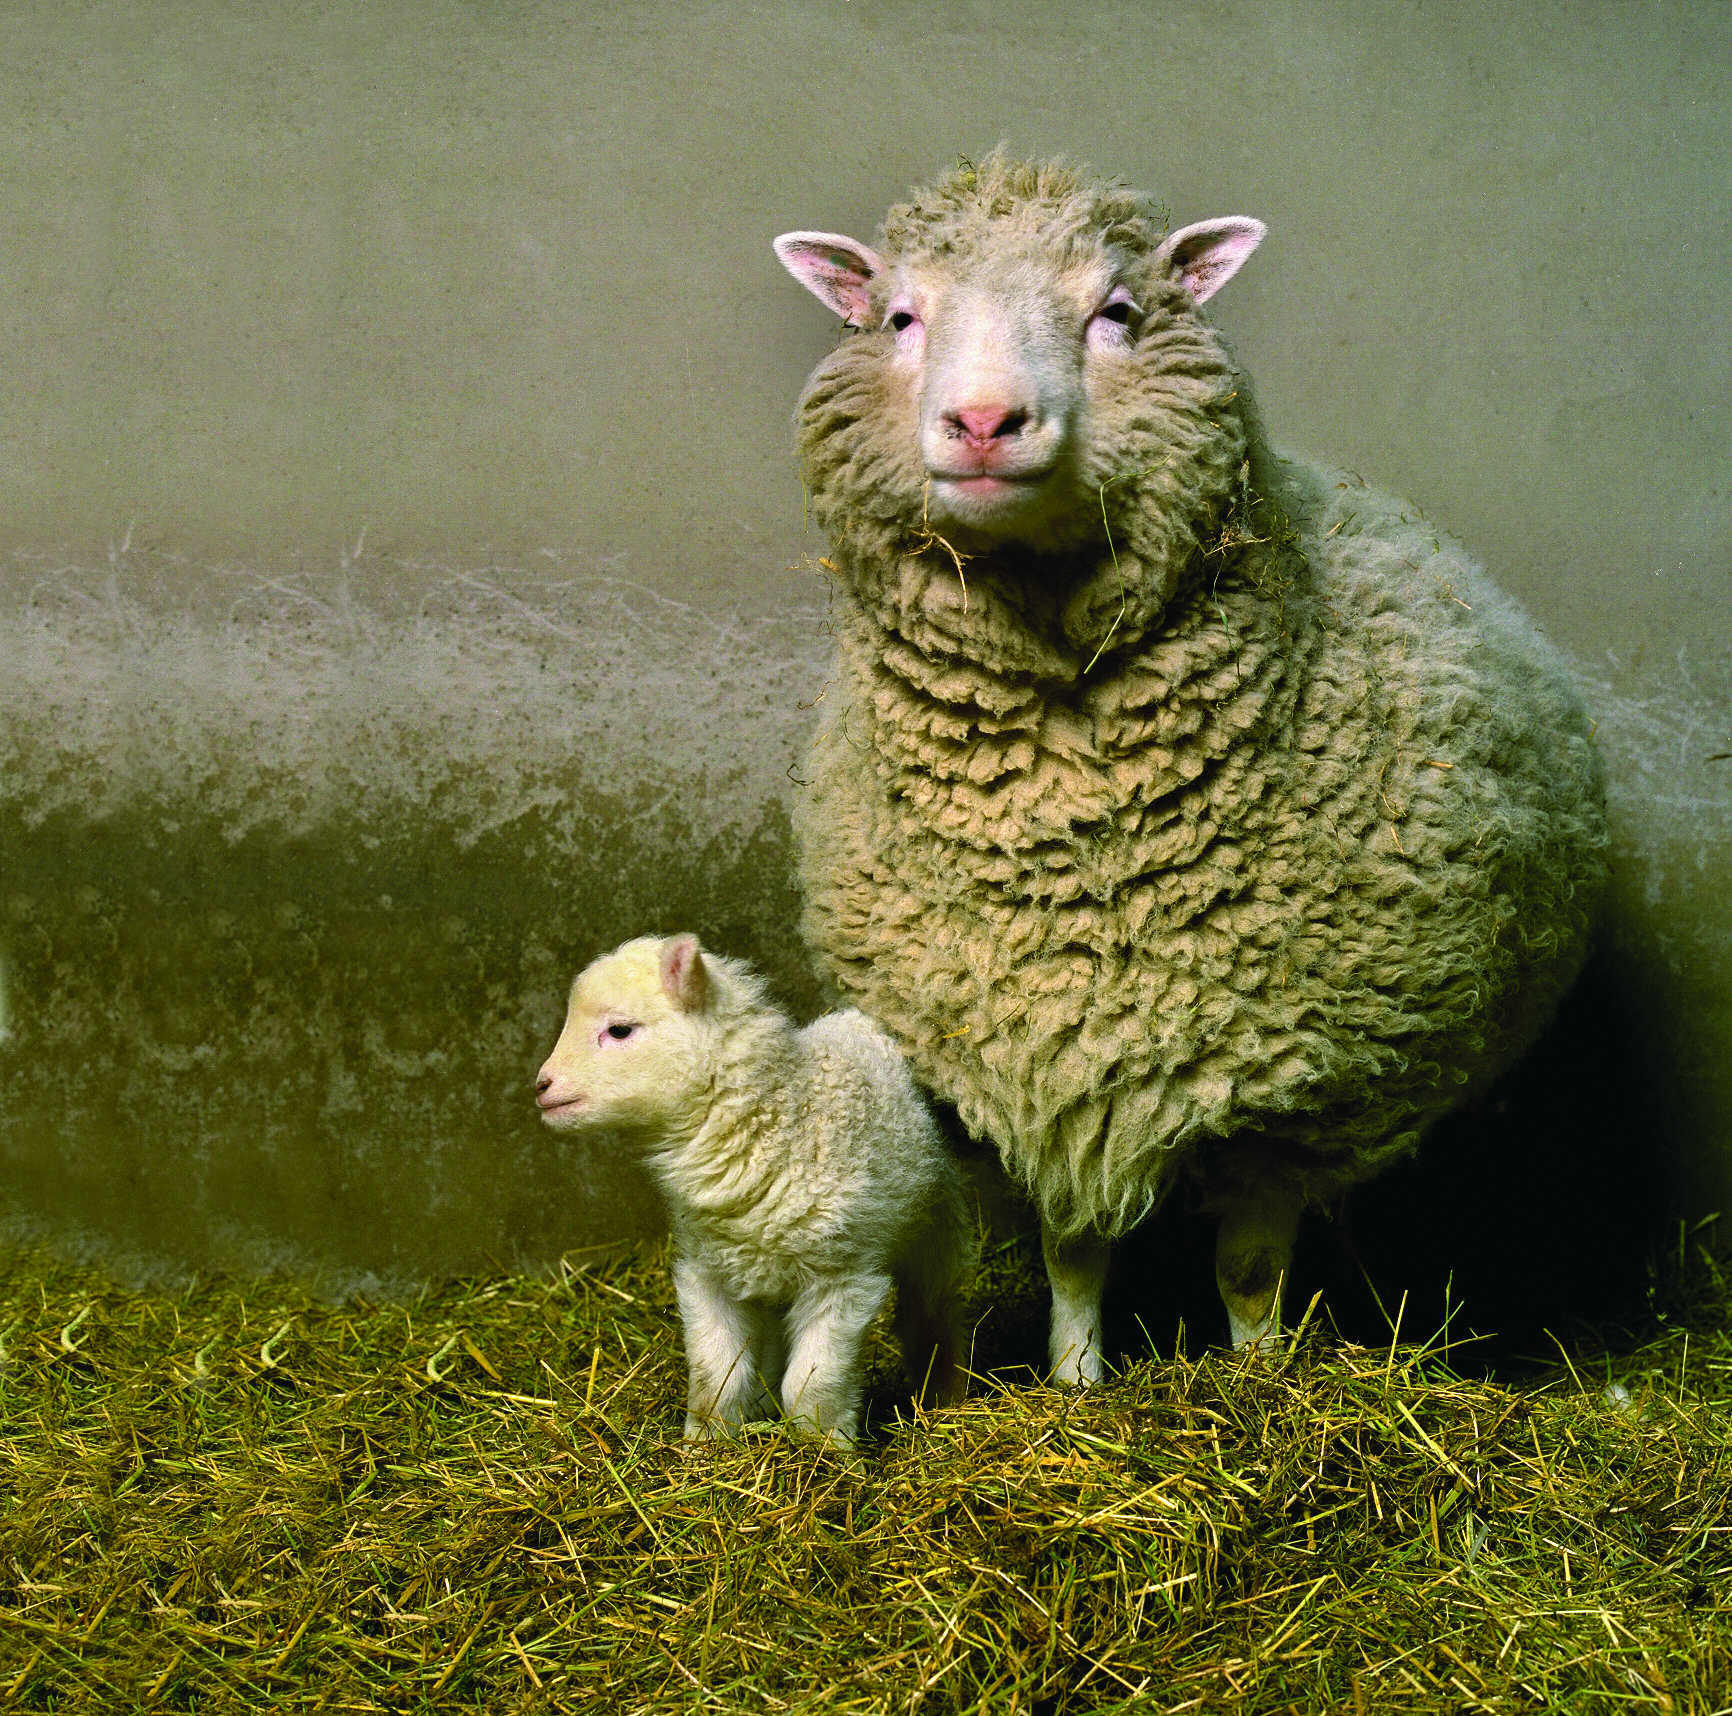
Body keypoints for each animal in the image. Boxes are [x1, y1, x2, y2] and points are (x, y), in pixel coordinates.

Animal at [533, 935, 976, 1440]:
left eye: (620, 1030)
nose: (541, 1086)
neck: (779, 1119)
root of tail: (861, 1019)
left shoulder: (843, 1275)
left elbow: (813, 1384)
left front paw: (826, 1448)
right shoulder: (707, 1273)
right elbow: (716, 1374)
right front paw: (705, 1444)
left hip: (935, 1225)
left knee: (932, 1311)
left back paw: (945, 1395)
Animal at [772, 150, 1607, 1385]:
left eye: (1117, 312)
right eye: (898, 318)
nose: (984, 421)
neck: (1074, 834)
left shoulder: (1294, 1092)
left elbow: (1250, 1270)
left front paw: (1261, 1384)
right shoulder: (1049, 1059)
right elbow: (1074, 1255)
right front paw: (1075, 1387)